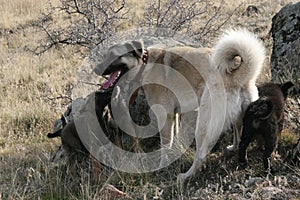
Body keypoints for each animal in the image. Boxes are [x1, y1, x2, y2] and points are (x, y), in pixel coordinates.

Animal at [94, 28, 264, 181]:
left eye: (114, 56)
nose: (96, 69)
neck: (145, 64)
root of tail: (237, 76)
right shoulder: (175, 115)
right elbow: (174, 139)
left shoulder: (165, 117)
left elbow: (165, 145)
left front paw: (162, 166)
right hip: (238, 117)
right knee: (239, 136)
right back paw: (233, 149)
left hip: (203, 125)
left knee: (200, 156)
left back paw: (186, 176)